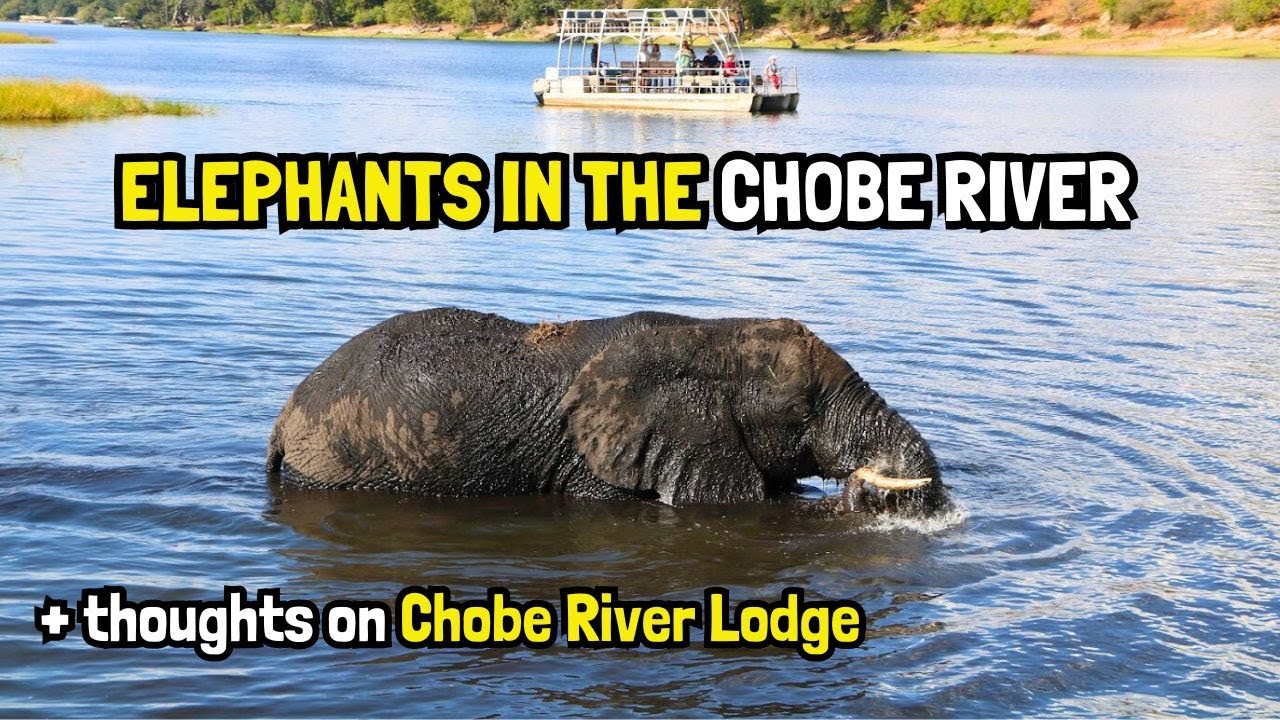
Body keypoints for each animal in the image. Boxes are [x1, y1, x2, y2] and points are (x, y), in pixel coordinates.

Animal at [267, 308, 947, 514]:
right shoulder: (595, 468)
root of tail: (283, 417)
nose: (869, 489)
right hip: (341, 461)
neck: (709, 335)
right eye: (802, 409)